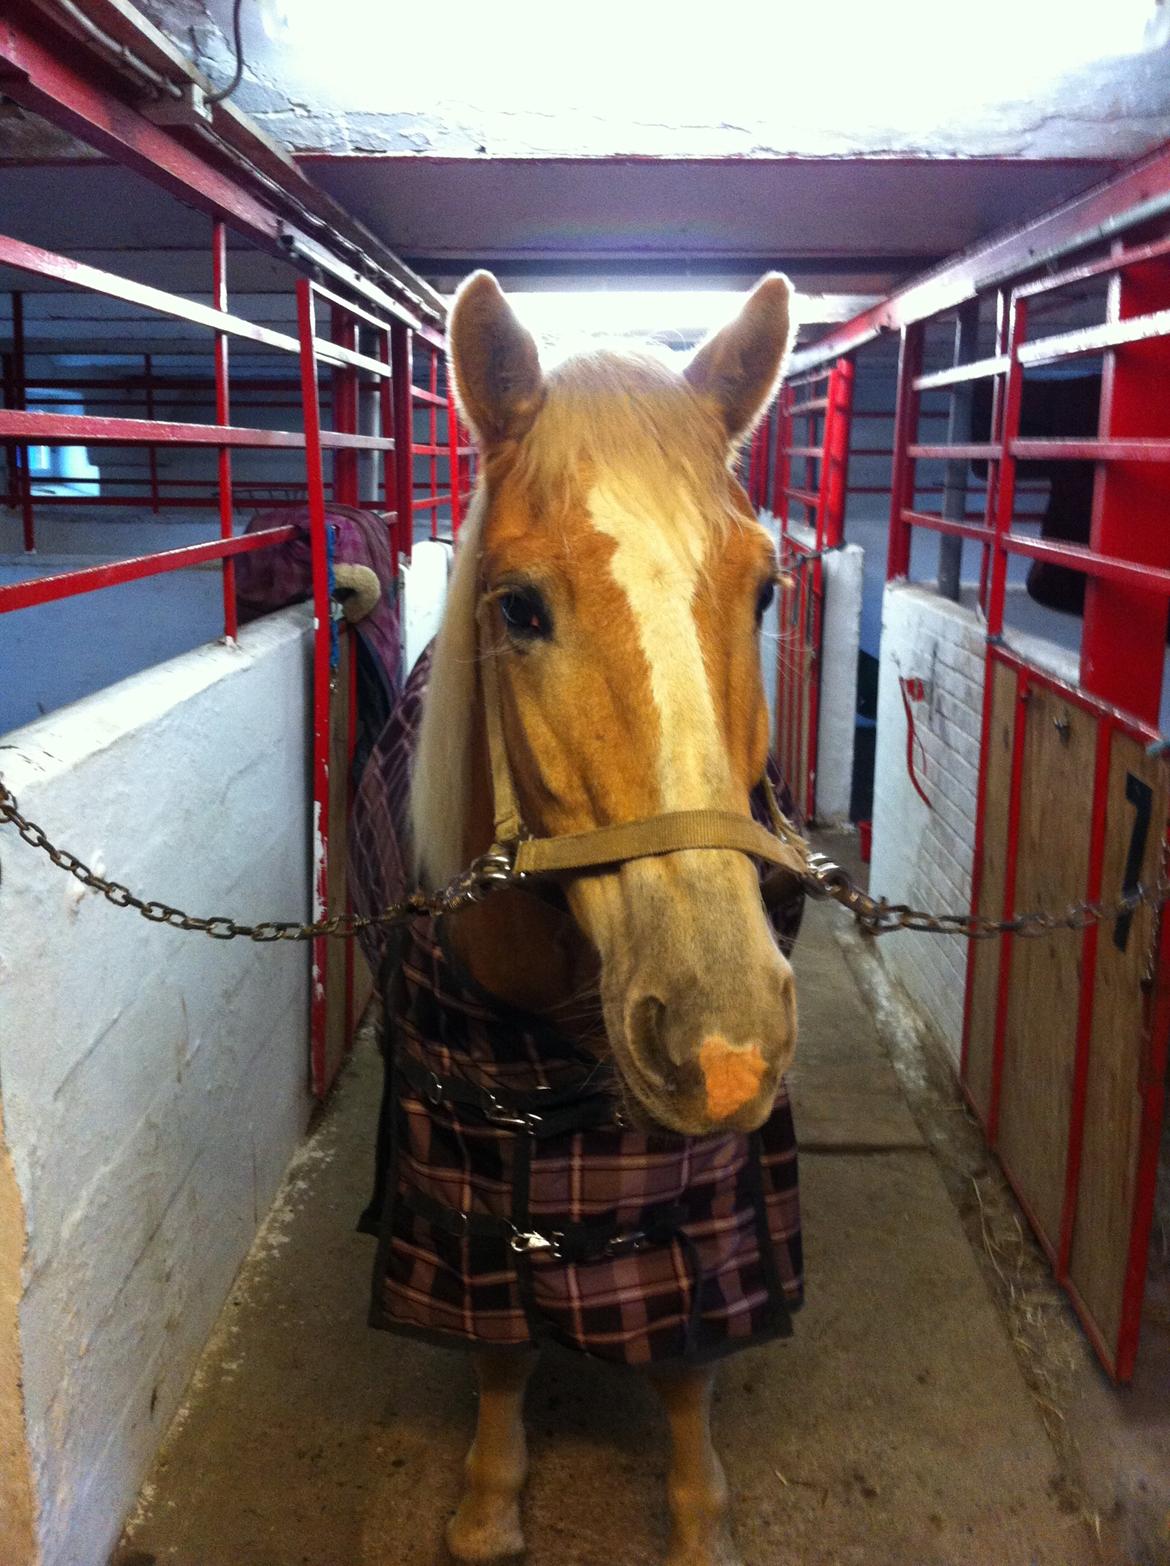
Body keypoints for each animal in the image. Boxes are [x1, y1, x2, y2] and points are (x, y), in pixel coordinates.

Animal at [380, 275, 801, 1566]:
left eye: (765, 590)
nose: (724, 1041)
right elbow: (499, 1346)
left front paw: (701, 1518)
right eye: (519, 607)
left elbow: (686, 1361)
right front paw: (488, 1502)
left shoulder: (701, 1195)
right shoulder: (463, 1167)